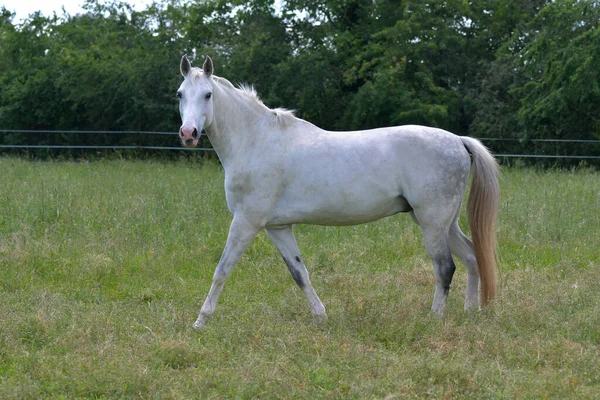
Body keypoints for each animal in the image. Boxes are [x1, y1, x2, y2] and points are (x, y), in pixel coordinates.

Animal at [176, 55, 500, 328]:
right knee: (472, 258)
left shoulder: (246, 222)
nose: (188, 133)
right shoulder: (277, 227)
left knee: (445, 268)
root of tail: (458, 140)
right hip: (444, 222)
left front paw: (200, 322)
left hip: (432, 222)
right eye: (180, 94)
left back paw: (433, 318)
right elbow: (299, 273)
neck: (257, 140)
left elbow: (222, 270)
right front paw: (321, 317)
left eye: (208, 95)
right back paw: (471, 312)